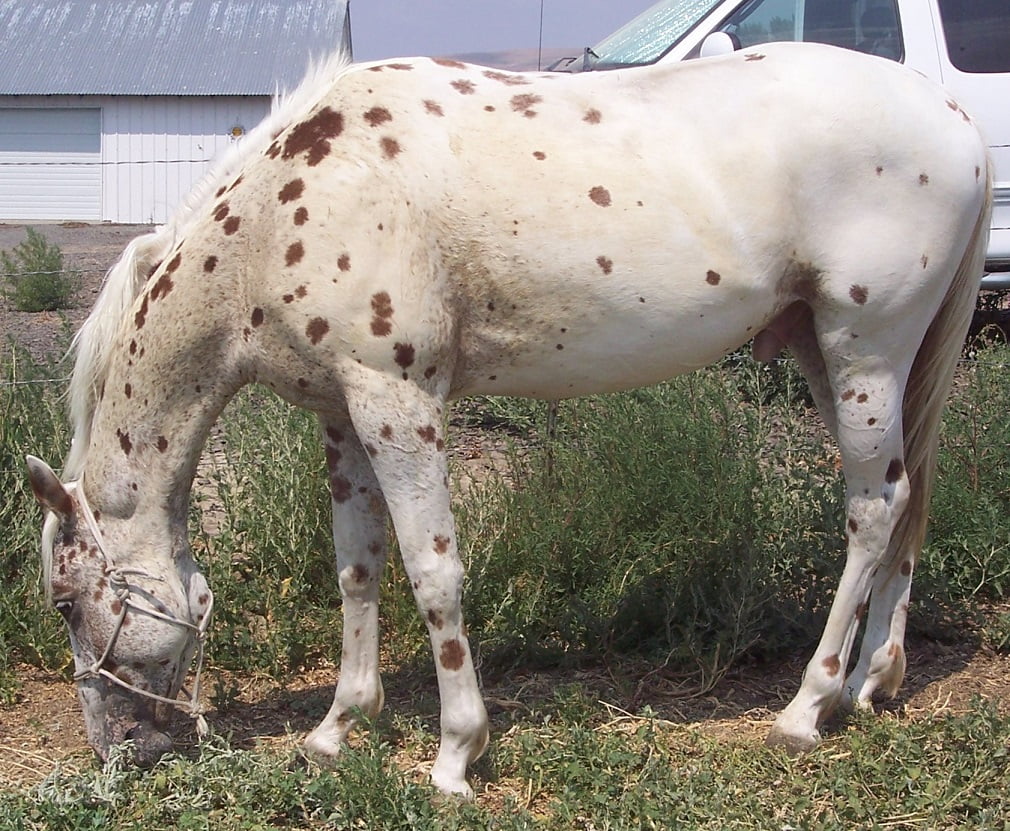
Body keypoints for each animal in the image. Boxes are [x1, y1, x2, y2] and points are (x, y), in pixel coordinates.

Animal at [26, 41, 991, 798]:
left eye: (67, 601)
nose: (122, 754)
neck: (286, 206)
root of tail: (955, 118)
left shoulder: (399, 403)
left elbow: (433, 571)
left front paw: (456, 753)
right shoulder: (343, 412)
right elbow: (357, 567)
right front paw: (338, 727)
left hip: (865, 351)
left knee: (871, 512)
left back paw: (807, 706)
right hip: (833, 357)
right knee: (906, 499)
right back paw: (873, 681)